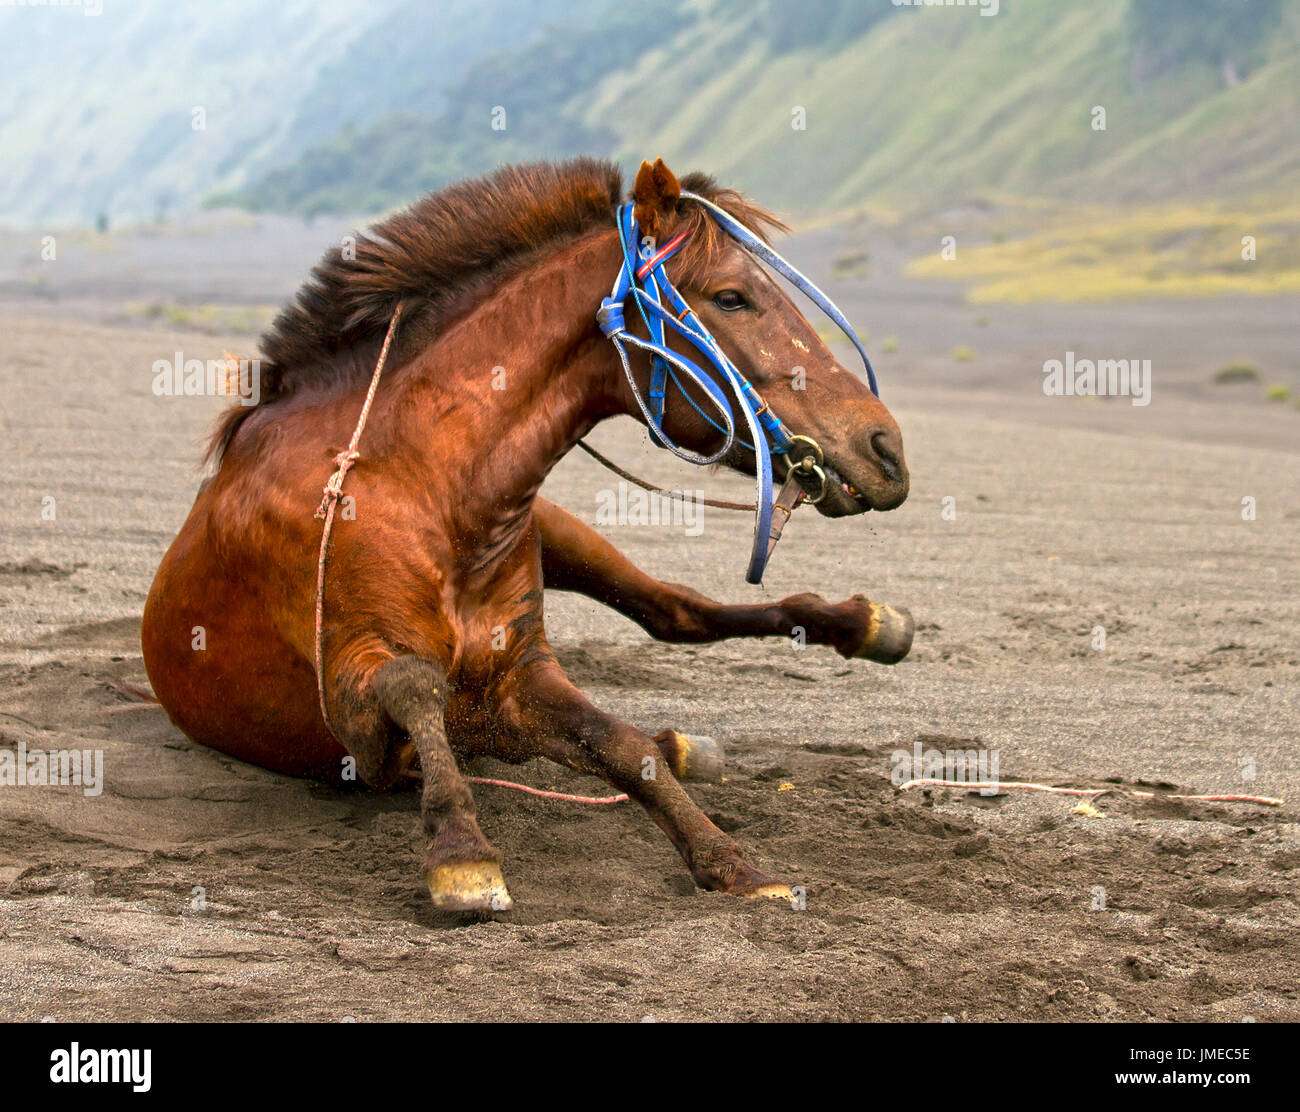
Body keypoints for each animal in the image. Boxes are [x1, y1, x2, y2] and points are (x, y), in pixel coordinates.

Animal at [142, 156, 909, 915]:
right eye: (731, 297)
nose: (885, 448)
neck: (409, 479)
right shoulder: (359, 709)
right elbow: (415, 684)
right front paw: (461, 852)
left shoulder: (518, 676)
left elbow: (621, 744)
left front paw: (731, 861)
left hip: (565, 536)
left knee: (674, 610)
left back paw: (863, 625)